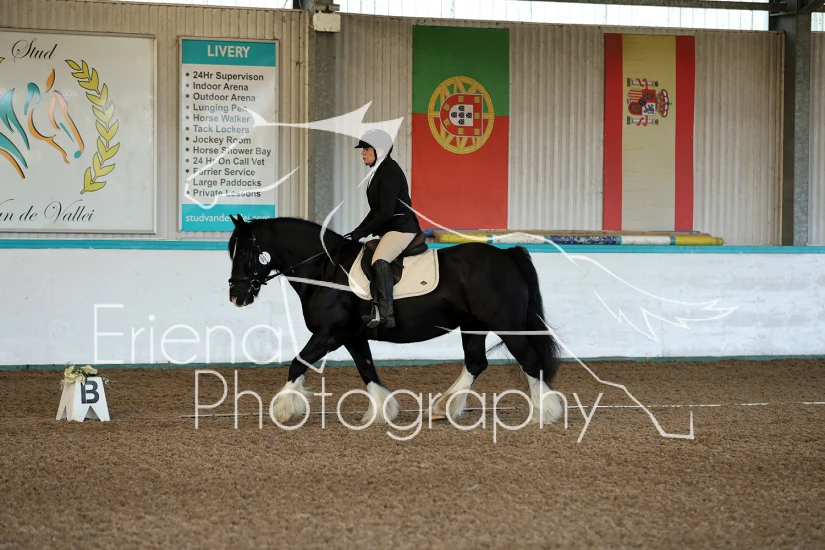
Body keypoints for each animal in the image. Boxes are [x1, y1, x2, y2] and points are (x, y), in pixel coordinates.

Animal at [227, 214, 564, 426]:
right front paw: (380, 411)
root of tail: (506, 255)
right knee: (476, 363)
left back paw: (543, 414)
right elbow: (367, 371)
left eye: (243, 252)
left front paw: (283, 410)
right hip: (473, 326)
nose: (236, 297)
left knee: (530, 361)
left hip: (507, 326)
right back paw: (441, 408)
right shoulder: (352, 337)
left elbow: (297, 364)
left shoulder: (329, 334)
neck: (324, 268)